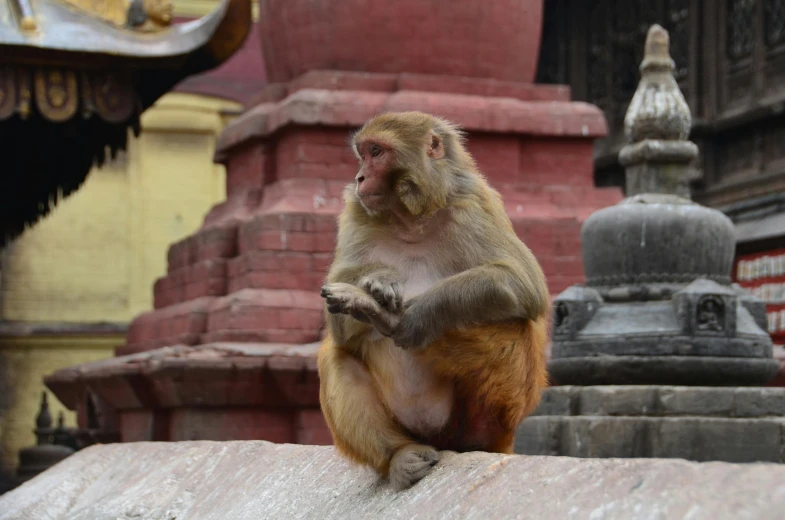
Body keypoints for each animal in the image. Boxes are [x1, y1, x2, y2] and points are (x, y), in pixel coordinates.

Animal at [316, 111, 548, 490]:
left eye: (377, 152)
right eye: (362, 154)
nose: (359, 177)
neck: (412, 219)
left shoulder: (473, 203)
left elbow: (522, 282)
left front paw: (415, 317)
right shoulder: (354, 212)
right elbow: (339, 328)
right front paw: (379, 280)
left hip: (494, 414)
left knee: (513, 324)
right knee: (336, 356)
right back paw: (399, 455)